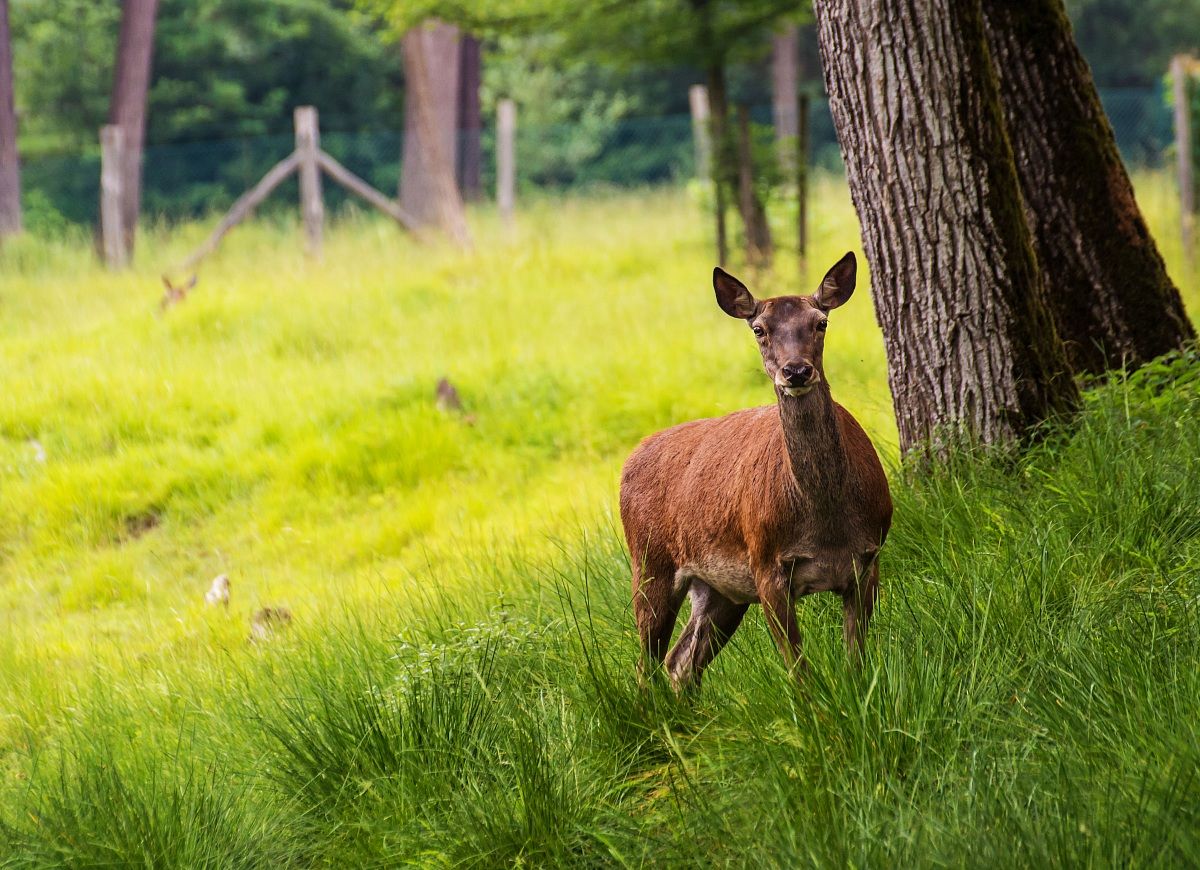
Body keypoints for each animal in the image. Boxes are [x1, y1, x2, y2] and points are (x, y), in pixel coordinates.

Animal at [619, 253, 892, 689]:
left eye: (821, 322)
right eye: (759, 329)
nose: (796, 371)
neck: (827, 522)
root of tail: (629, 461)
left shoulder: (869, 558)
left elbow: (857, 663)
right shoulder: (766, 565)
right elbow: (799, 672)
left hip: (720, 590)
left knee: (681, 662)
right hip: (649, 562)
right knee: (647, 666)